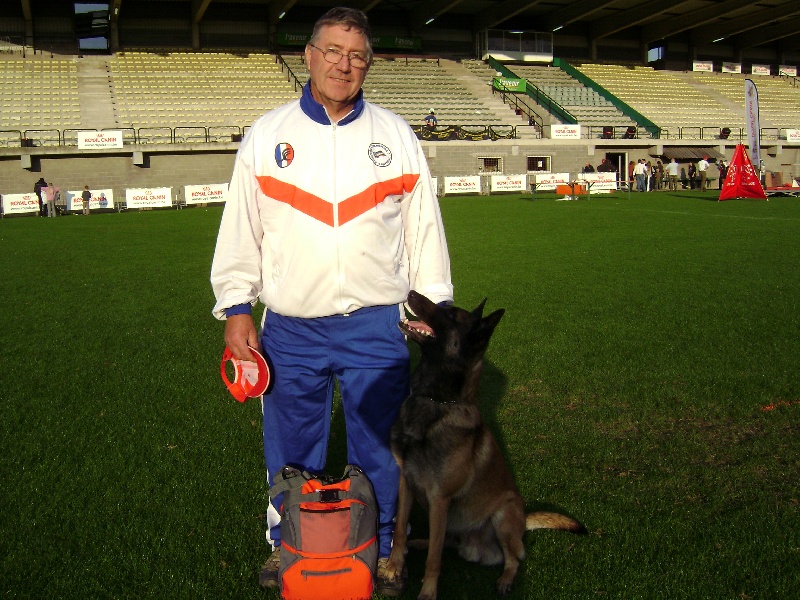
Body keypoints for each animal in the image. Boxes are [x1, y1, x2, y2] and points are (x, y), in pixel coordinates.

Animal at [384, 288, 584, 596]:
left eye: (451, 315)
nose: (411, 292)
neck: (436, 403)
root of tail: (523, 520)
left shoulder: (440, 499)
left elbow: (433, 560)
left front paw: (428, 592)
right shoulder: (407, 482)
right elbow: (399, 530)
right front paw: (394, 567)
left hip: (503, 514)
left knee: (513, 557)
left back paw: (506, 580)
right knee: (444, 542)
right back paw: (422, 542)